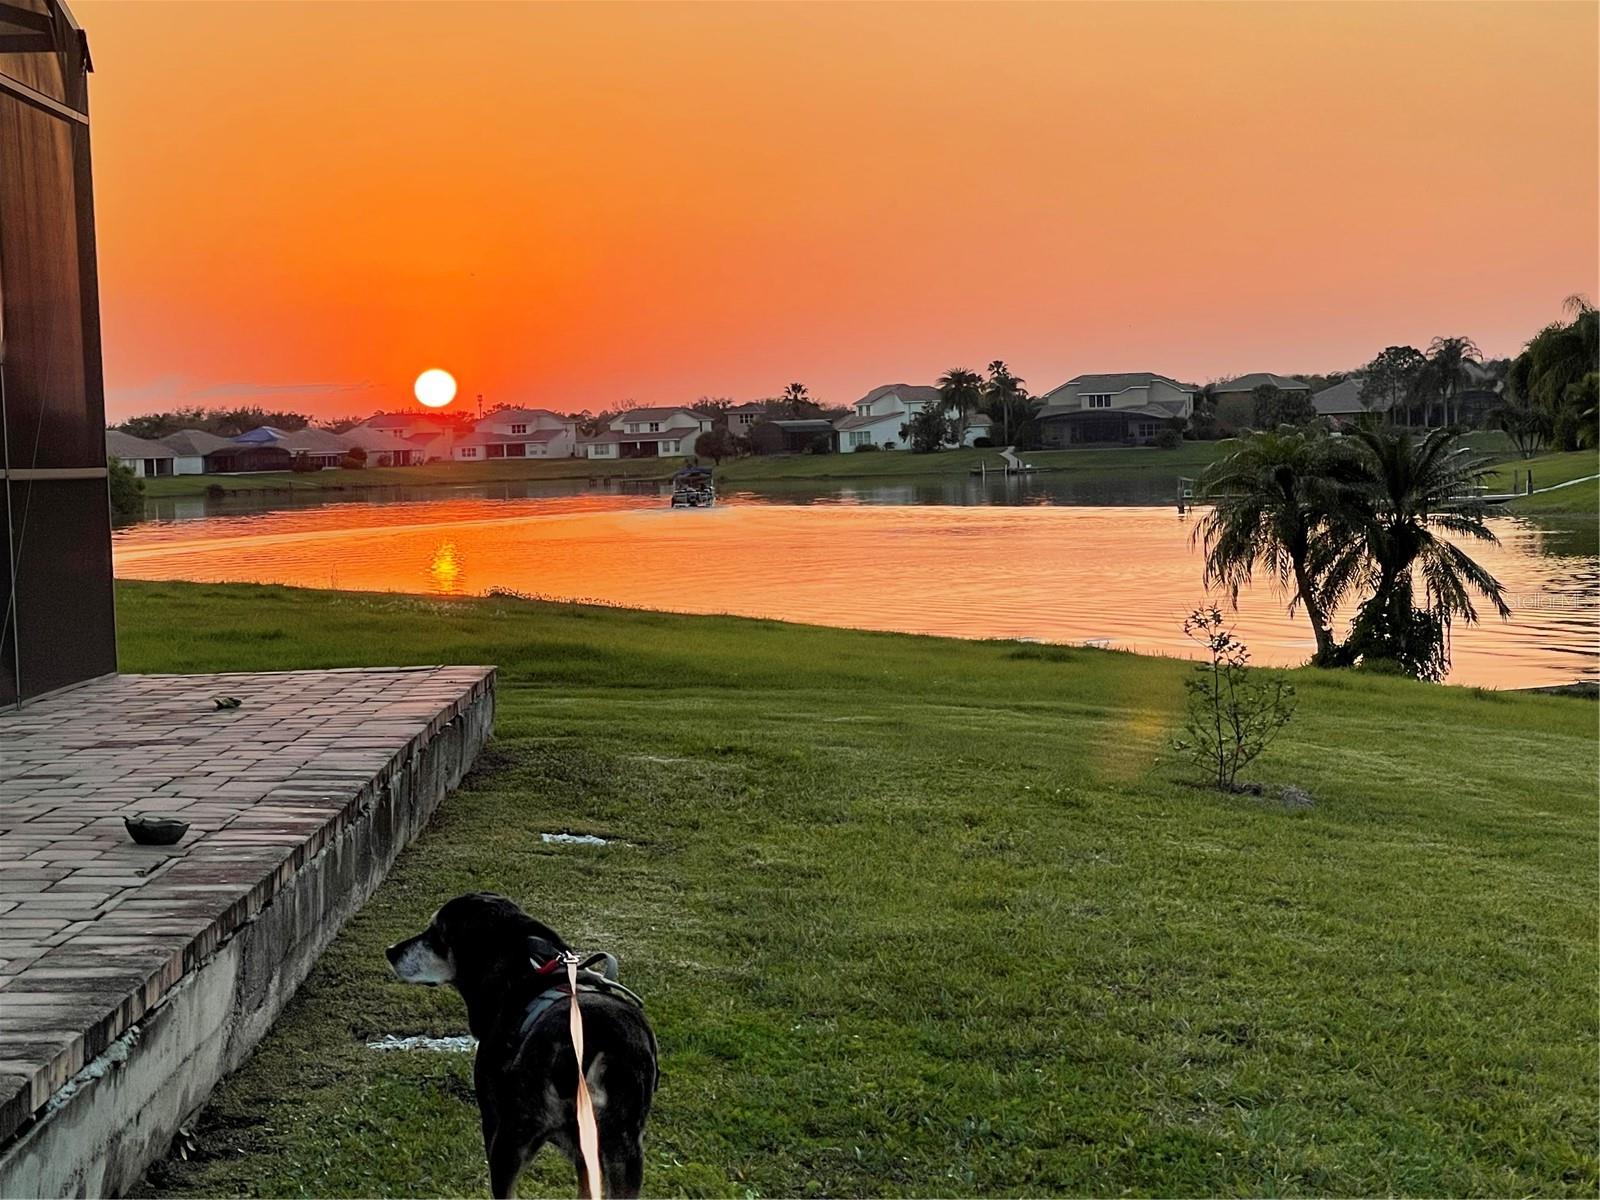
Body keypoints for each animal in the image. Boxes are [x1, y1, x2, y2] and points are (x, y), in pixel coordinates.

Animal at [386, 893, 659, 1198]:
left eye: (436, 933)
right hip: (625, 1153)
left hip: (511, 1139)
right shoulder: (587, 1156)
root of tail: (586, 1048)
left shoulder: (492, 1121)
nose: (390, 951)